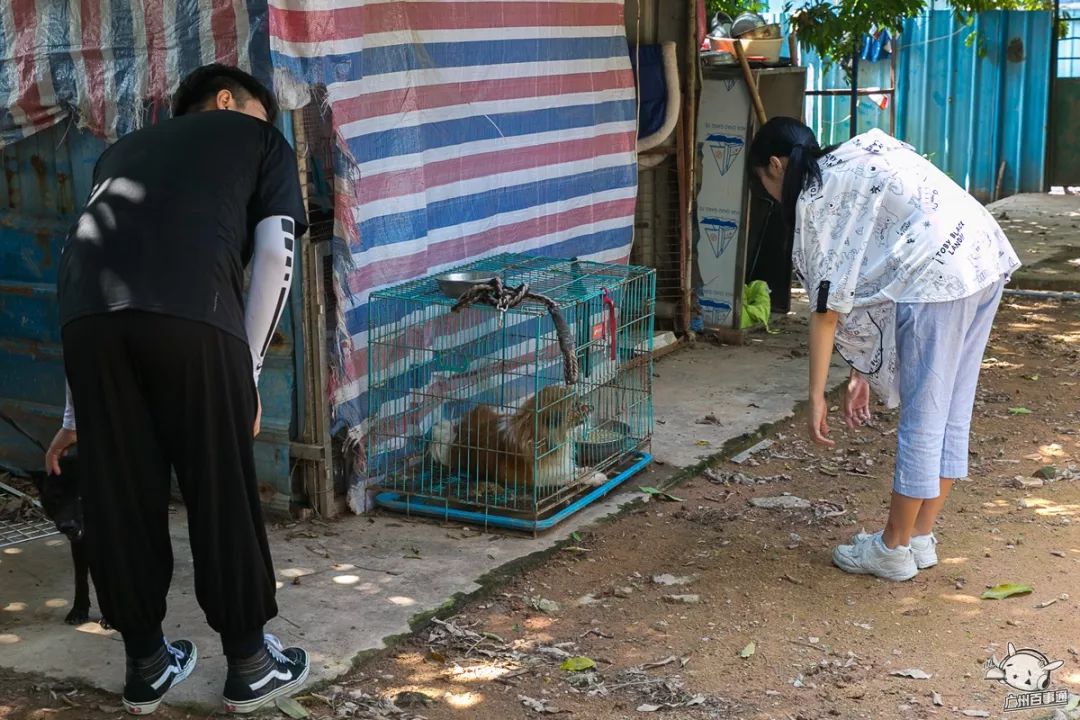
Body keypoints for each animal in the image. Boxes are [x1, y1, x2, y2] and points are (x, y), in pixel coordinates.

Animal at [1, 414, 104, 626]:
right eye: (56, 498)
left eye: (81, 497)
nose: (67, 527)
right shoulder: (80, 545)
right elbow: (81, 578)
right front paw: (79, 610)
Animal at [427, 386, 609, 492]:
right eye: (575, 405)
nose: (592, 406)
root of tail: (457, 436)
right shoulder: (539, 477)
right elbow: (571, 476)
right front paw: (594, 476)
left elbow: (576, 469)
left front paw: (589, 471)